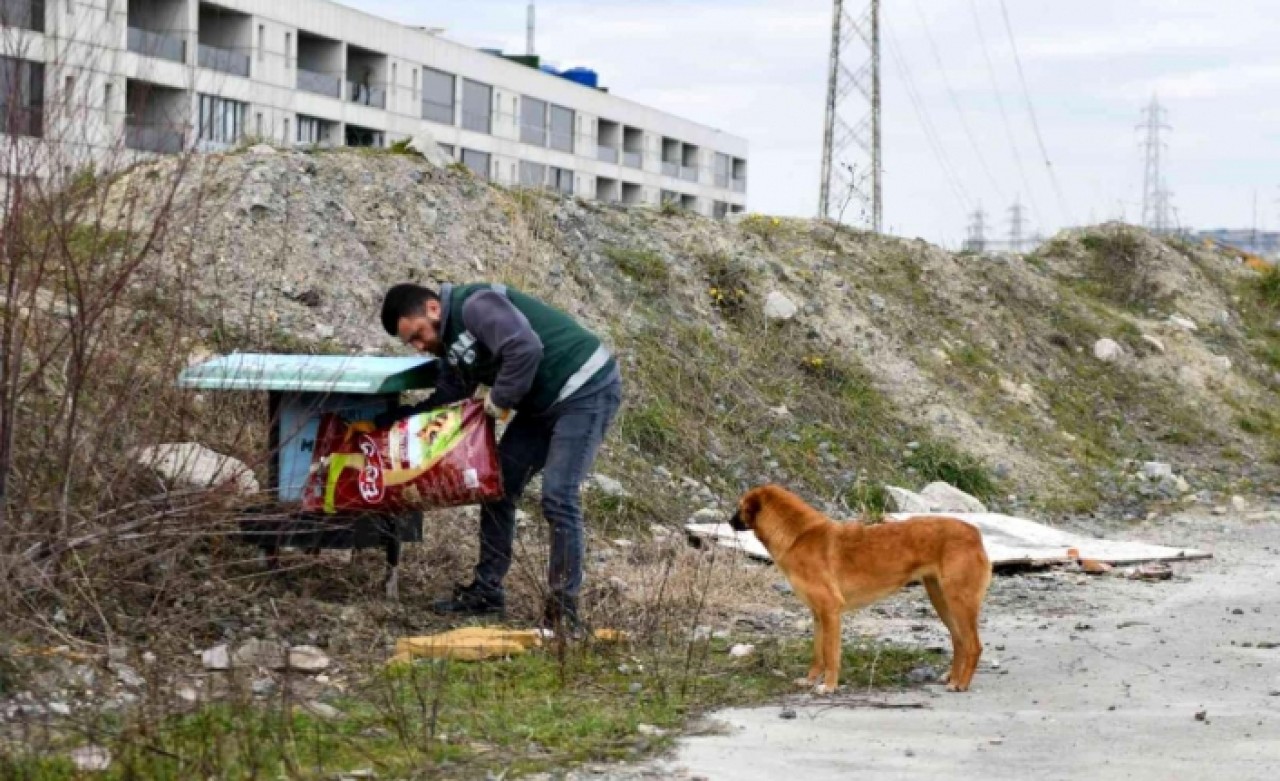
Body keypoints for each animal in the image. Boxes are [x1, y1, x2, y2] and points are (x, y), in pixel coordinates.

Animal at [732, 483, 988, 691]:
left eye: (740, 506)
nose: (728, 521)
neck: (798, 536)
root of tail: (974, 532)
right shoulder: (818, 615)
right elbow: (817, 654)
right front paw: (811, 679)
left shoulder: (830, 611)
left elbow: (830, 655)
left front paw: (829, 686)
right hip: (941, 599)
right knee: (959, 641)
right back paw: (953, 679)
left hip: (959, 602)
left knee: (973, 645)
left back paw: (962, 684)